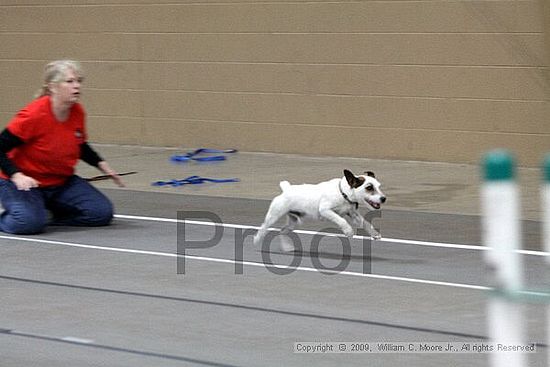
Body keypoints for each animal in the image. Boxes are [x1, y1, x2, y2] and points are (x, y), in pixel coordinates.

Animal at [254, 170, 388, 253]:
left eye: (379, 186)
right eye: (369, 187)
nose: (383, 198)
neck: (343, 193)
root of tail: (286, 189)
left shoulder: (353, 214)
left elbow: (366, 223)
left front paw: (374, 233)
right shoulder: (326, 211)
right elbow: (341, 220)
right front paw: (348, 231)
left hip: (294, 222)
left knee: (282, 231)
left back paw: (287, 247)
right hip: (273, 216)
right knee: (264, 227)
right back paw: (257, 239)